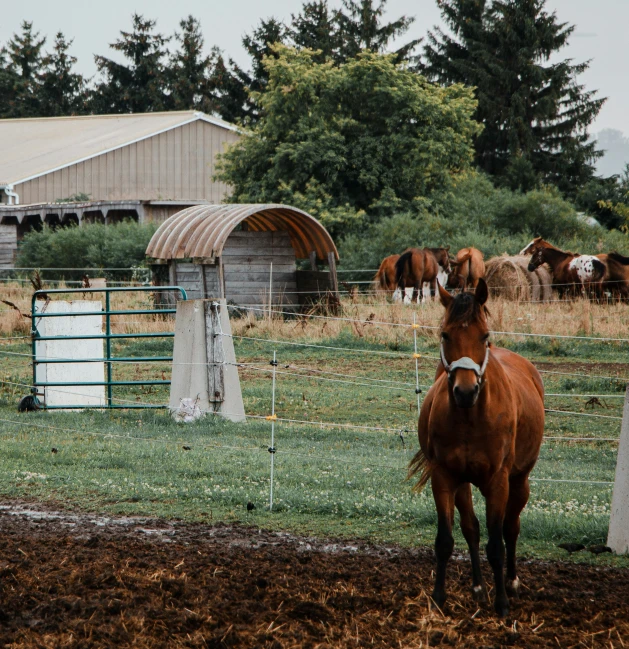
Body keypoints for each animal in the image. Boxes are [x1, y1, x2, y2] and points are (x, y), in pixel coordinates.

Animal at [410, 278, 548, 612]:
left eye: (483, 335)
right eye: (445, 334)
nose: (465, 390)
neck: (470, 418)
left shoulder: (498, 482)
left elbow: (497, 544)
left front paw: (502, 604)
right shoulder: (444, 478)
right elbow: (447, 540)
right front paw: (439, 598)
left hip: (520, 480)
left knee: (511, 527)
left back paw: (511, 583)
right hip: (463, 484)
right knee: (471, 528)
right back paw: (478, 587)